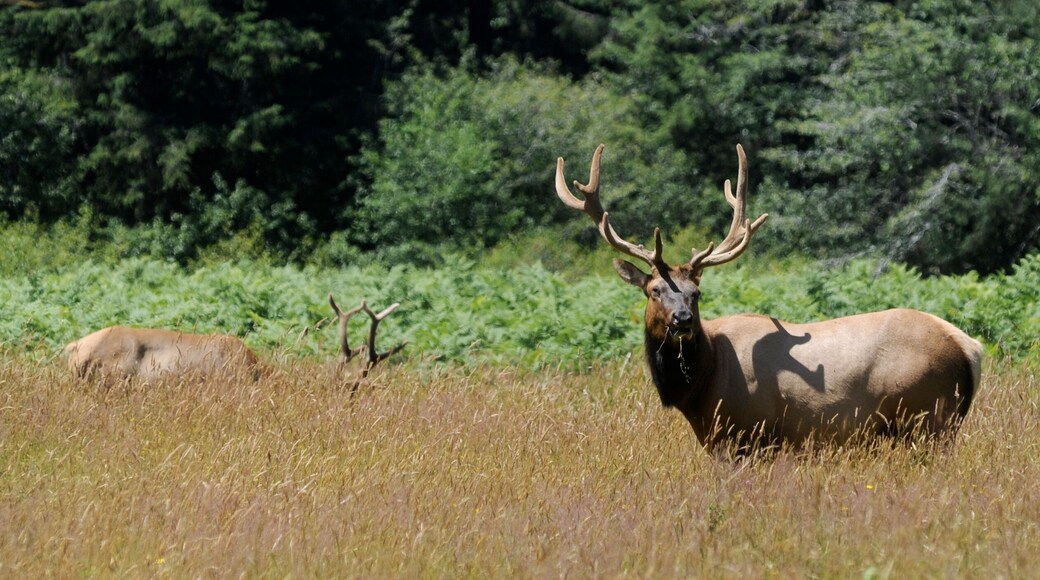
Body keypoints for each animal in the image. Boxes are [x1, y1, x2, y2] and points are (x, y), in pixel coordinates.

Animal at [555, 143, 983, 455]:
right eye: (654, 290)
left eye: (696, 293)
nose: (683, 320)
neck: (701, 385)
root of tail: (969, 348)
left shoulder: (747, 434)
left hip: (925, 418)